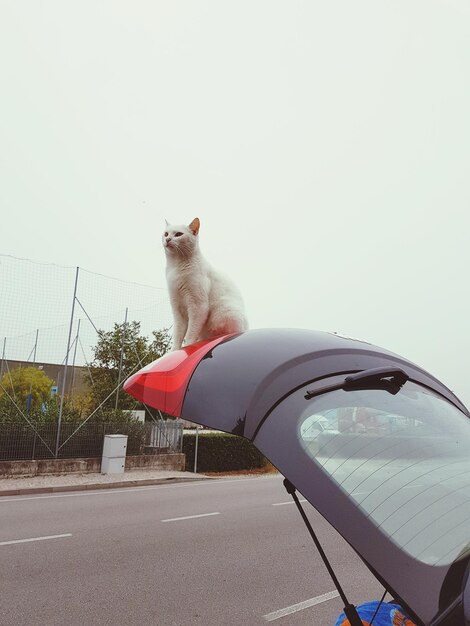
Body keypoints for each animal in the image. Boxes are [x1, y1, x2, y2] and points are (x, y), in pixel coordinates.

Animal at [162, 217, 248, 348]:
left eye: (178, 234)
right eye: (166, 234)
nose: (167, 239)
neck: (176, 267)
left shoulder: (198, 306)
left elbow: (190, 333)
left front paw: (188, 347)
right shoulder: (177, 308)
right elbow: (178, 335)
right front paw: (174, 351)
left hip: (226, 311)